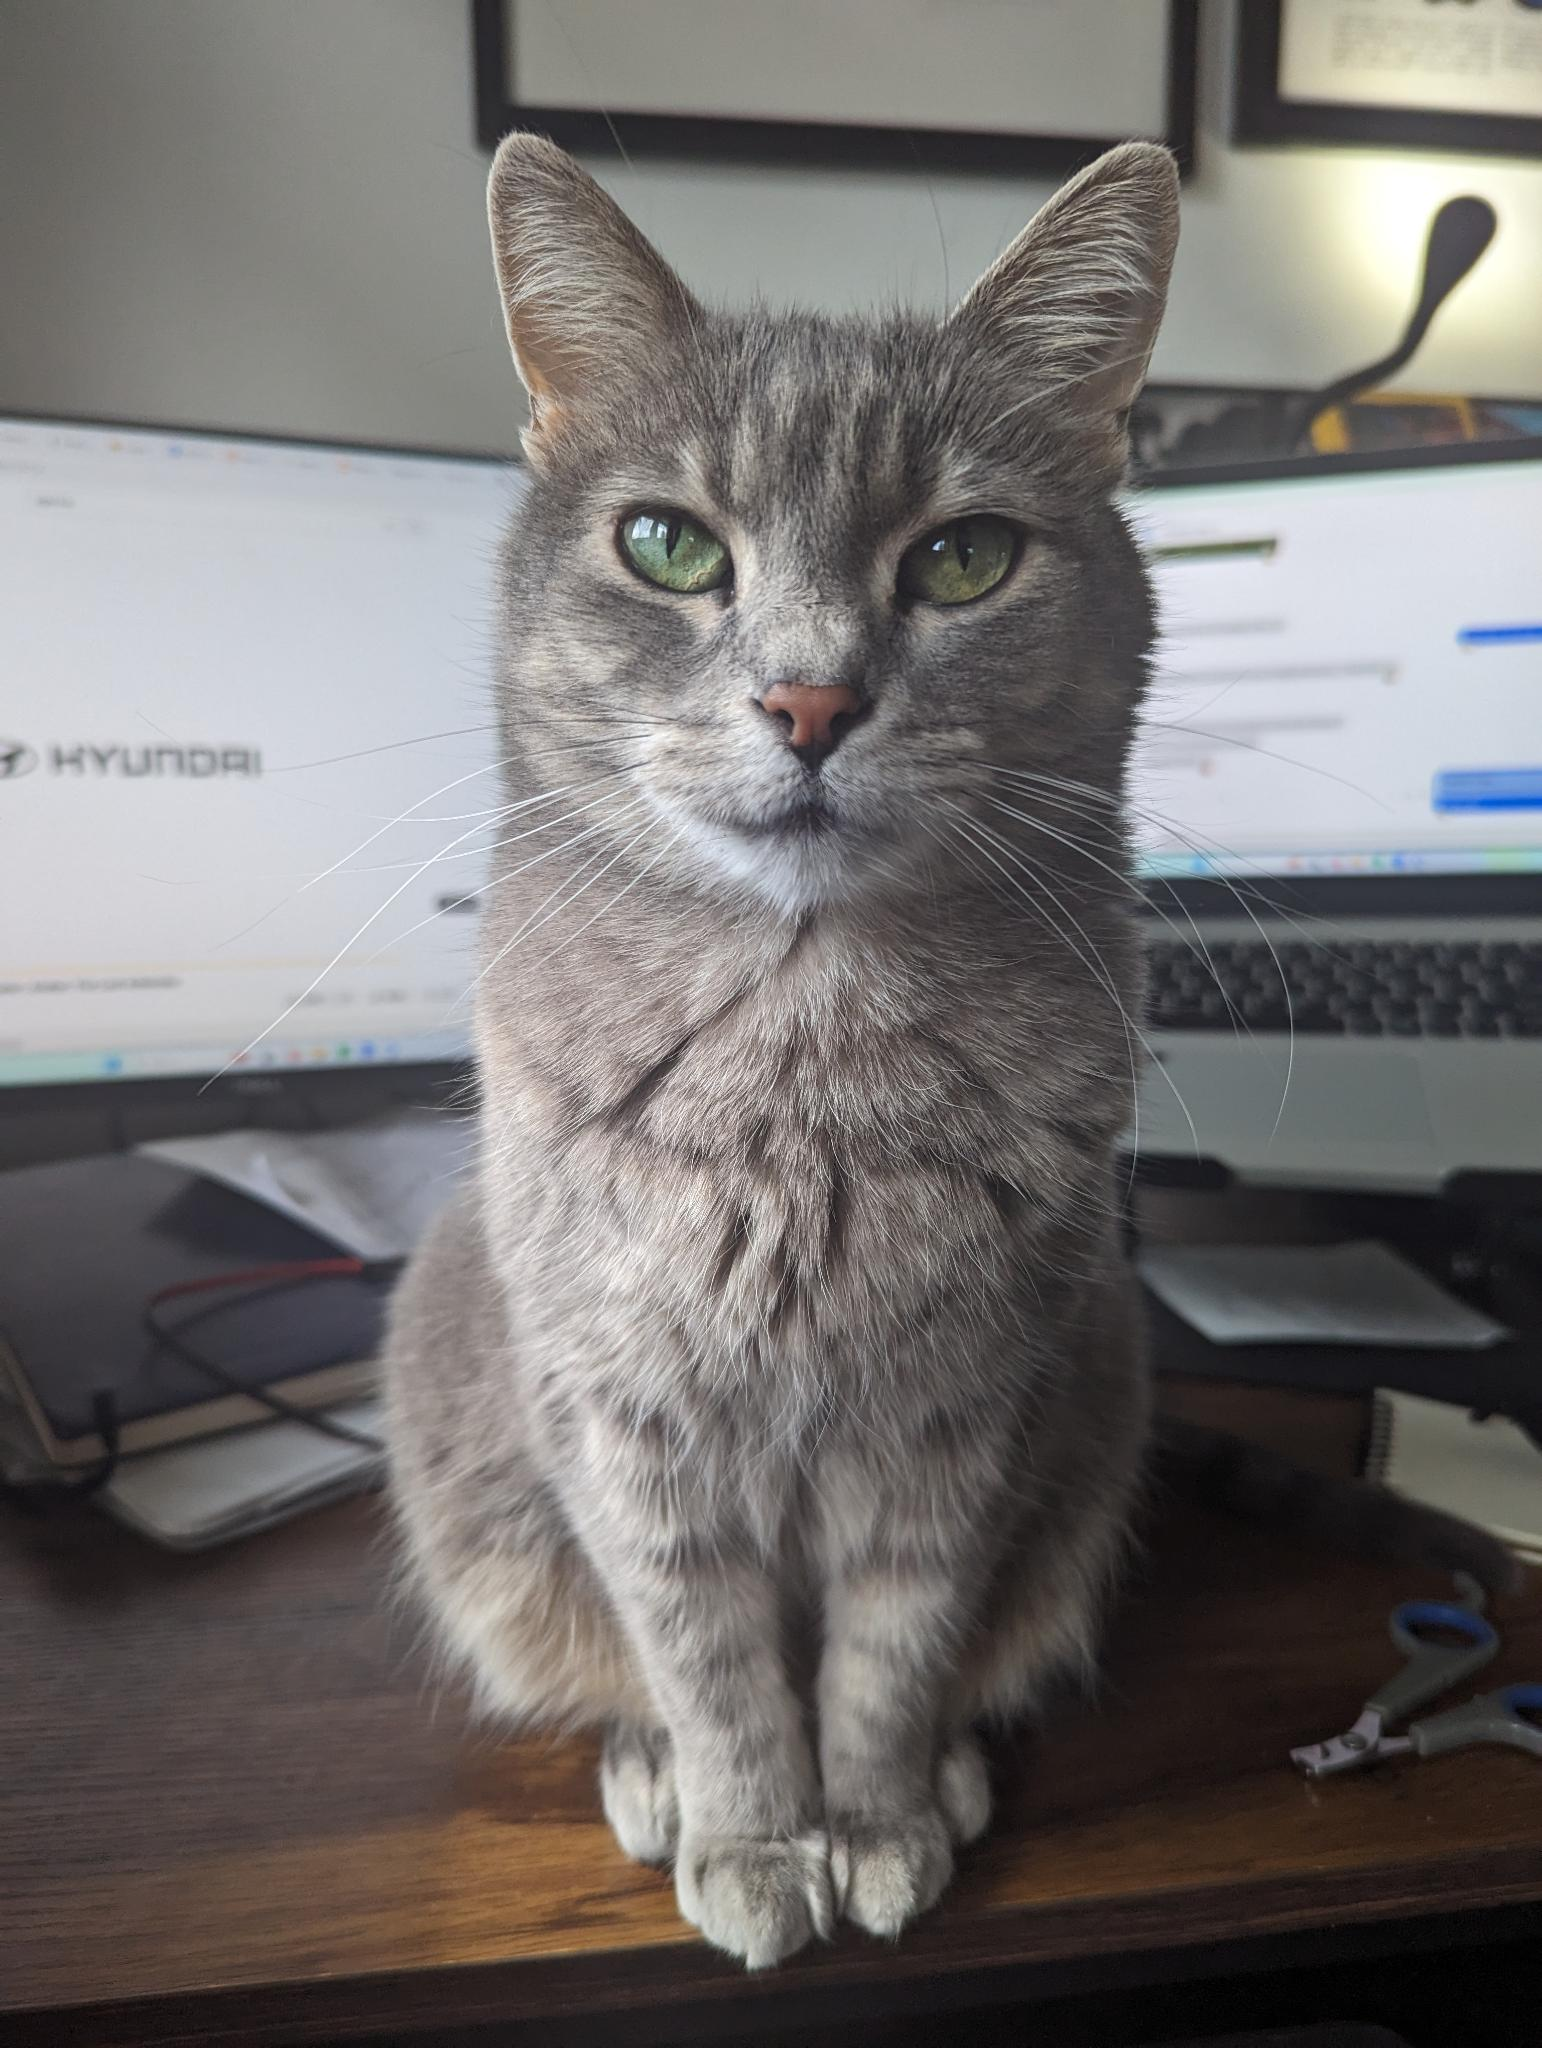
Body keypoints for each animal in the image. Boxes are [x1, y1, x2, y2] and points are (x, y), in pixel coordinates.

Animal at [378, 140, 1507, 1966]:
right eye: (668, 545)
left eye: (965, 559)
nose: (809, 700)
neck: (803, 1062)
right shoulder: (625, 1419)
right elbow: (706, 1657)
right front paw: (755, 1832)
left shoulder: (962, 1417)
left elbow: (892, 1651)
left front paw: (877, 1818)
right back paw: (650, 1771)